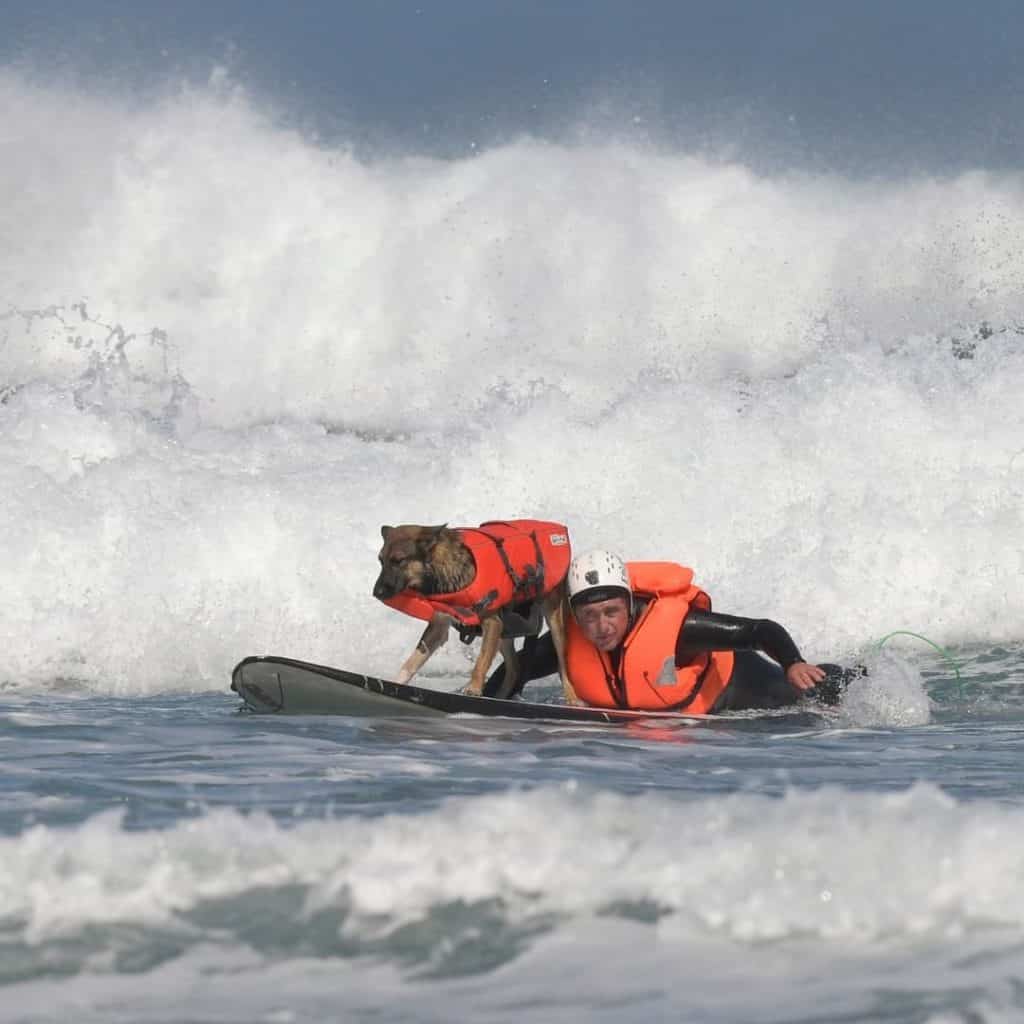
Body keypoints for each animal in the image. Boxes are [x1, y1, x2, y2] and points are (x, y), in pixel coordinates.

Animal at [368, 520, 581, 704]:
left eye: (398, 560)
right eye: (380, 560)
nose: (376, 593)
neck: (441, 569)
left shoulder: (492, 622)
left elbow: (480, 663)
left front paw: (474, 688)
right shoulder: (439, 625)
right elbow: (411, 662)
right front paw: (396, 683)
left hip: (551, 618)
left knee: (562, 663)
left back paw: (571, 698)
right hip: (506, 629)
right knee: (514, 667)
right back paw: (501, 697)